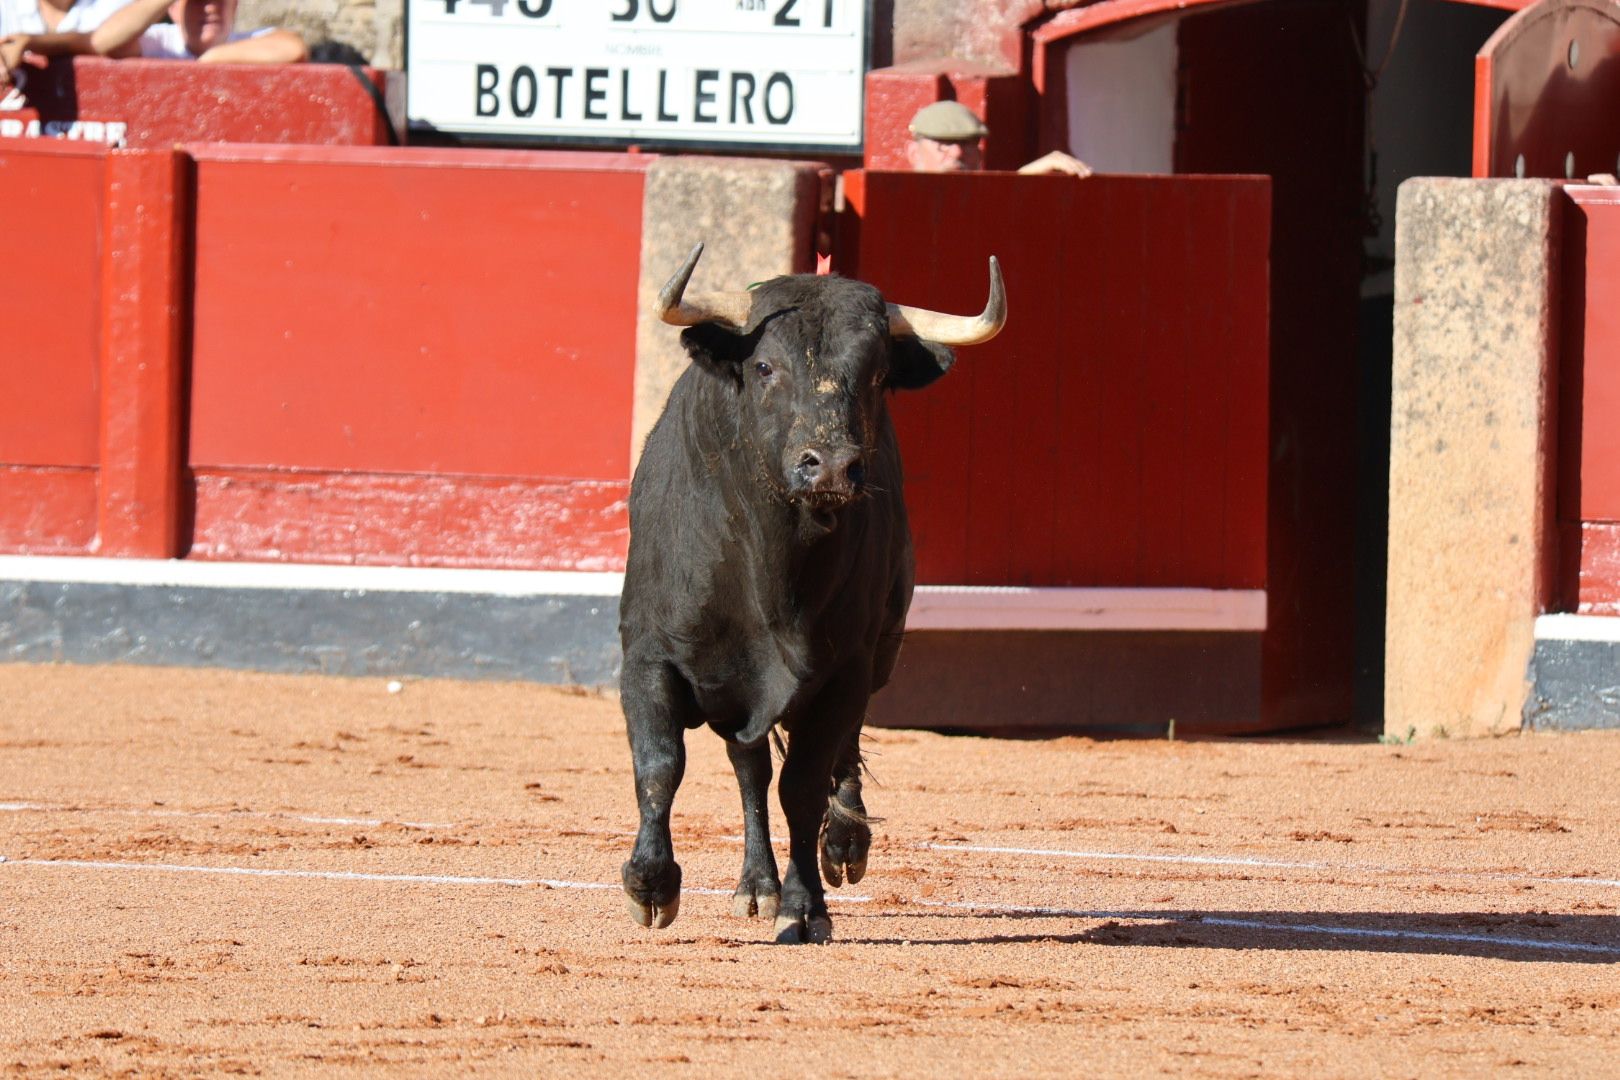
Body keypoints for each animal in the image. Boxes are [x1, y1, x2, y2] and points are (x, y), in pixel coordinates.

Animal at [615, 247, 997, 945]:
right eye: (765, 365)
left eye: (876, 375)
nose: (833, 466)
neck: (773, 571)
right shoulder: (649, 655)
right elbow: (659, 765)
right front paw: (651, 885)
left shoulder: (845, 669)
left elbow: (805, 782)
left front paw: (806, 905)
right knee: (748, 767)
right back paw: (755, 885)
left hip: (877, 655)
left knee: (826, 762)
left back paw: (841, 846)